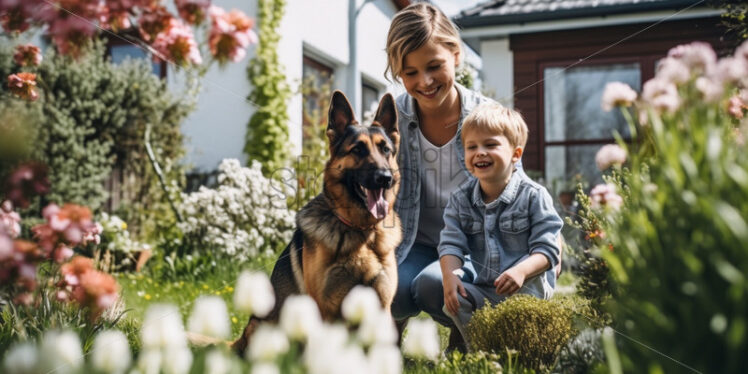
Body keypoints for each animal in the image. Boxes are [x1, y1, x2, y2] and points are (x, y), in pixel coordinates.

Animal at [234, 90, 400, 354]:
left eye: (385, 150)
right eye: (358, 150)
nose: (384, 178)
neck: (361, 232)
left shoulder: (381, 308)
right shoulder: (325, 311)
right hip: (265, 326)